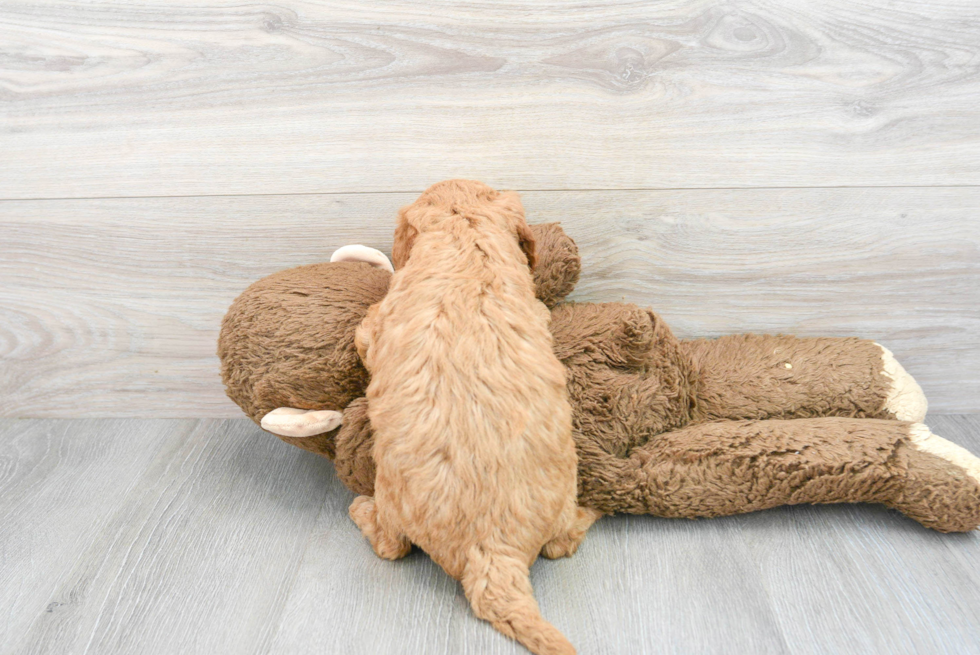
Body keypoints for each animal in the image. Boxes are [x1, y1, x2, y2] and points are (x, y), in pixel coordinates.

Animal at [350, 181, 596, 655]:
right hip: (562, 496)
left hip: (391, 495)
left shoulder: (382, 325)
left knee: (391, 546)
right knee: (560, 544)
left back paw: (360, 509)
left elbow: (365, 332)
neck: (467, 236)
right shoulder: (535, 309)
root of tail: (493, 551)